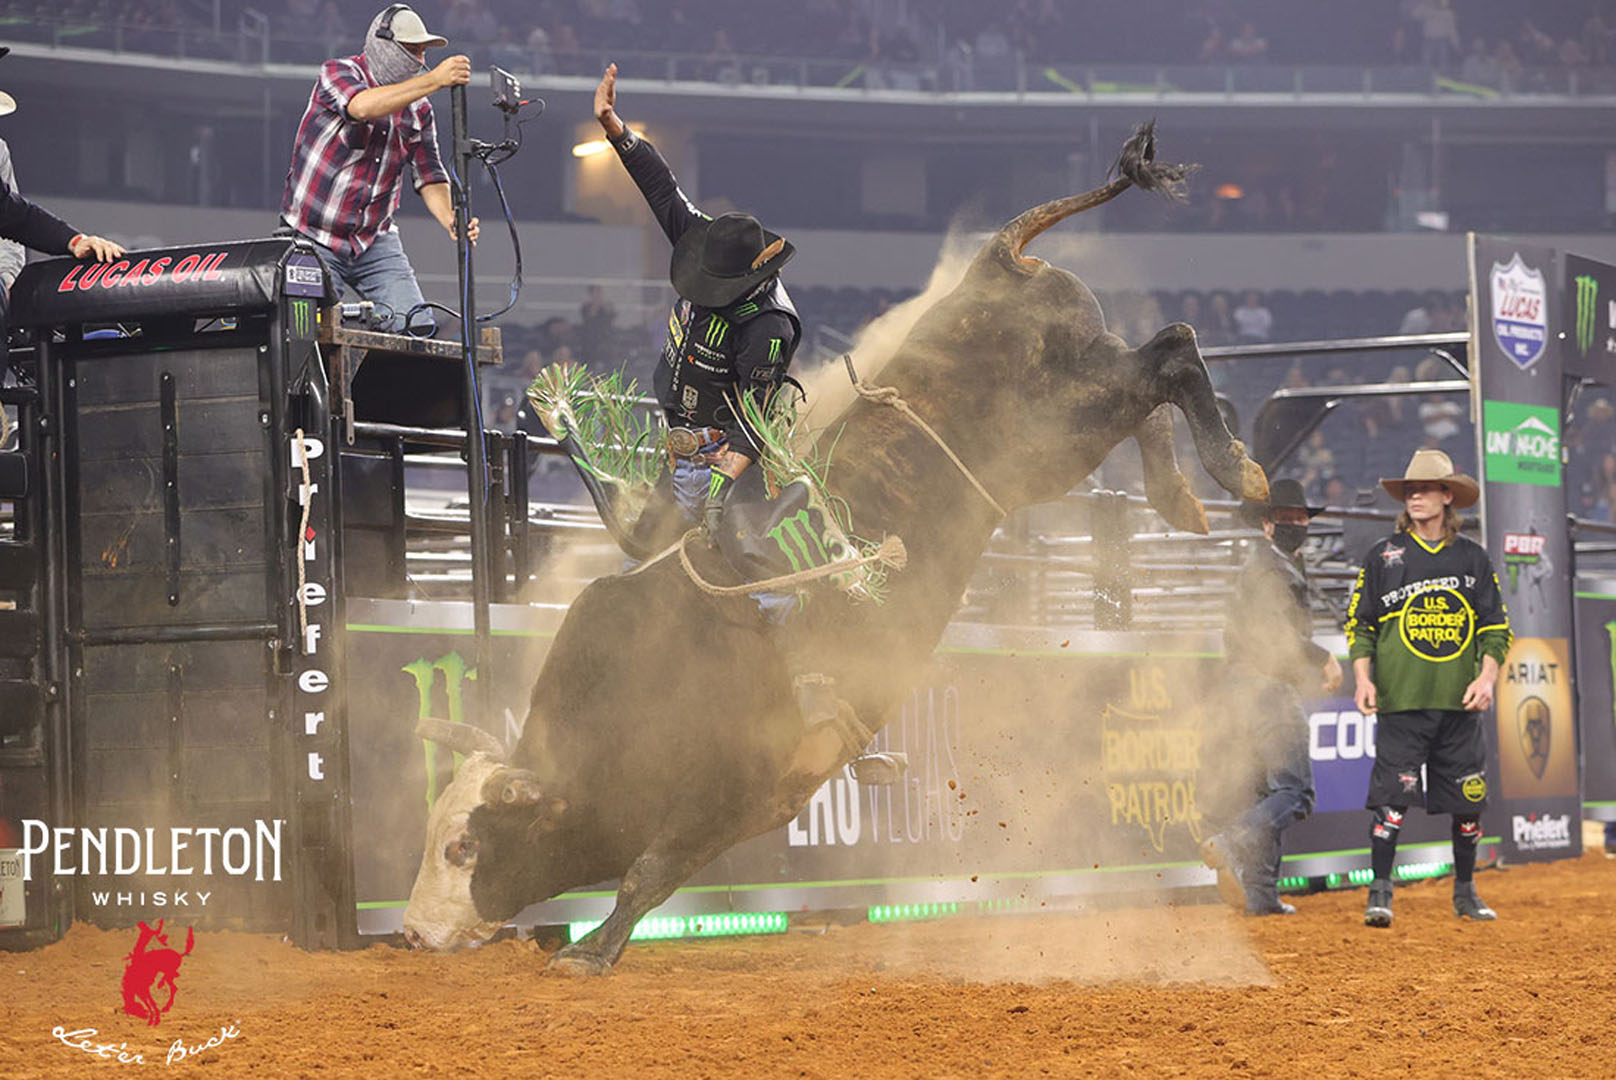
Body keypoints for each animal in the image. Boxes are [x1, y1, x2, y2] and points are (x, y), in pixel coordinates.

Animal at [402, 123, 1268, 972]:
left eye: (462, 846)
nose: (411, 931)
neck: (639, 693)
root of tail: (993, 262)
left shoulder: (745, 790)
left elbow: (652, 870)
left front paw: (590, 953)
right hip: (1066, 436)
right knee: (1150, 388)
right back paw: (1181, 497)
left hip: (1063, 423)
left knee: (1173, 350)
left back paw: (1236, 470)